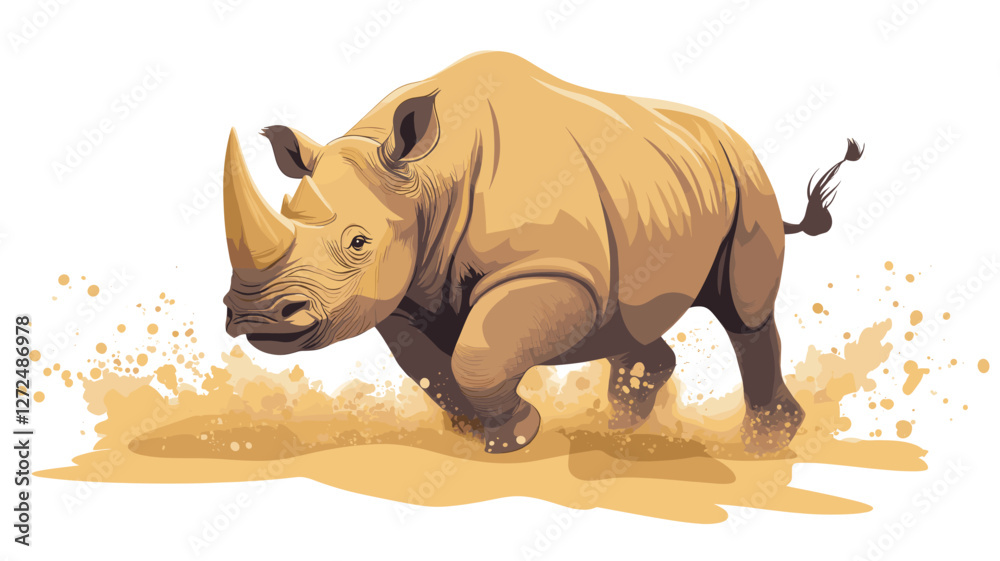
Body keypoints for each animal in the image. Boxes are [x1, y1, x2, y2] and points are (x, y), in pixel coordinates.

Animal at [222, 51, 861, 453]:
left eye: (358, 242)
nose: (254, 315)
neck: (423, 179)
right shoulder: (403, 289)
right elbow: (427, 365)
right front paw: (470, 431)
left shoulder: (555, 271)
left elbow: (478, 350)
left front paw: (514, 437)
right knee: (628, 319)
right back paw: (622, 428)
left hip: (746, 176)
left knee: (744, 313)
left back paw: (766, 443)